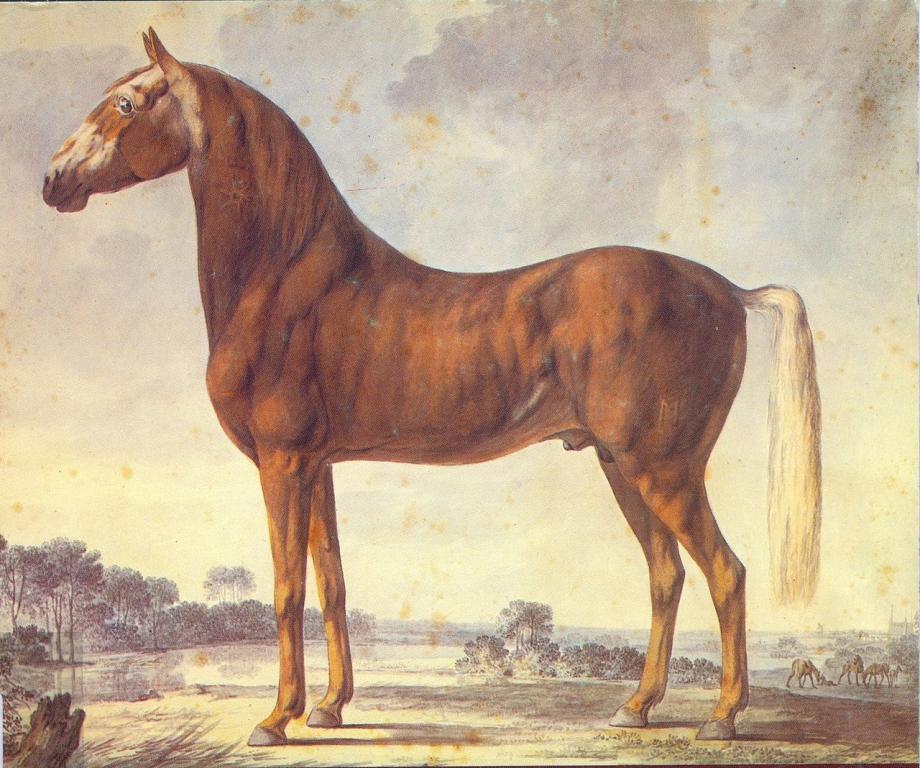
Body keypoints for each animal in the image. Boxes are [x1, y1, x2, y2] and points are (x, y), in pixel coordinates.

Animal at [42, 29, 822, 745]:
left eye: (127, 102)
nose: (53, 181)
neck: (283, 274)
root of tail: (726, 289)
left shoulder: (282, 462)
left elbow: (287, 590)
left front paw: (277, 718)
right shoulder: (317, 465)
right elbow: (331, 585)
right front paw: (329, 709)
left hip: (664, 469)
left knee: (725, 572)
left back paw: (722, 718)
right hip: (622, 465)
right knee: (667, 576)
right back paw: (635, 707)